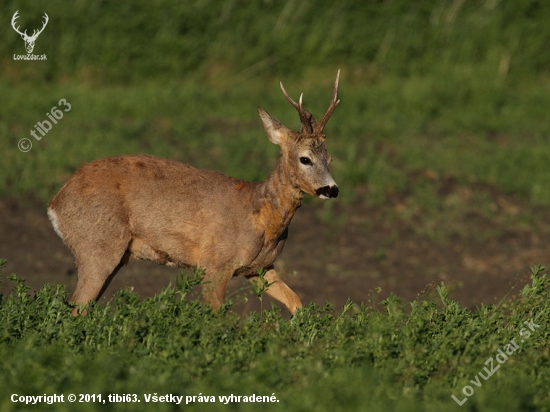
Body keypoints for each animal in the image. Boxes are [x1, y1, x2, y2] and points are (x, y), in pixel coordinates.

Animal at [48, 71, 340, 316]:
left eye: (330, 158)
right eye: (305, 159)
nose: (332, 189)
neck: (259, 216)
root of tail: (55, 203)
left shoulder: (260, 268)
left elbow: (297, 303)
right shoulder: (215, 264)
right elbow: (217, 316)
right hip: (96, 247)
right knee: (76, 308)